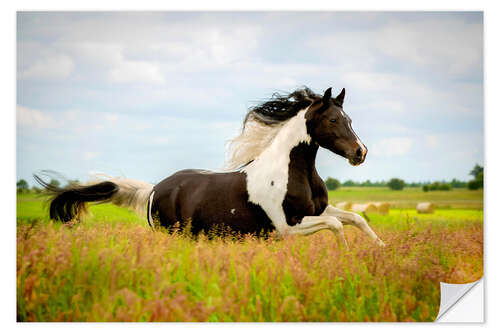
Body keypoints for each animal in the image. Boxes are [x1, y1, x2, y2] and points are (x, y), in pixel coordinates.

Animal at [36, 86, 386, 246]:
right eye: (332, 120)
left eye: (349, 119)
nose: (360, 152)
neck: (292, 172)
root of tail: (154, 189)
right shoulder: (287, 226)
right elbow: (337, 225)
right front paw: (344, 252)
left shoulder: (317, 210)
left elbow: (355, 218)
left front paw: (380, 248)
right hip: (173, 235)